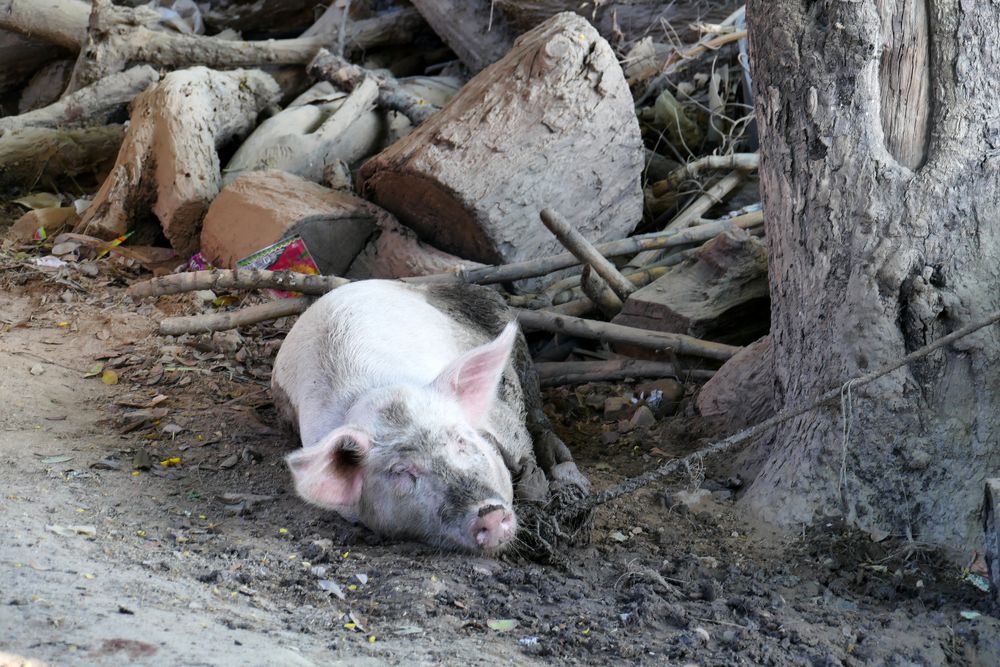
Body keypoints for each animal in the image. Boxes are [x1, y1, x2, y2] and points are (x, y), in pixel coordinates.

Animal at [274, 280, 584, 556]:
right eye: (401, 471)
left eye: (460, 440)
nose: (489, 514)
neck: (379, 392)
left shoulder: (502, 418)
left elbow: (522, 450)